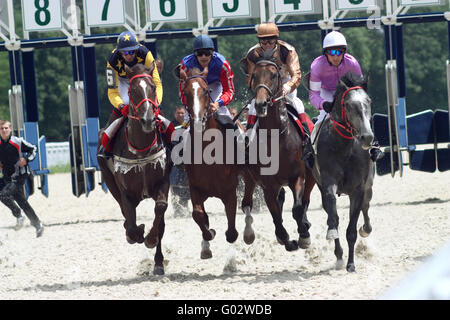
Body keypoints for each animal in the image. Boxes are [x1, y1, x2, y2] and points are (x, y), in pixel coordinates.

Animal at [96, 63, 171, 276]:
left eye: (152, 87)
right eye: (133, 90)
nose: (148, 119)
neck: (141, 148)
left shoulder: (163, 182)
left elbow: (160, 213)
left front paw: (150, 239)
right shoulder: (125, 191)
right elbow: (129, 219)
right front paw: (136, 233)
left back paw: (158, 262)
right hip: (111, 182)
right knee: (125, 214)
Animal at [173, 67, 256, 260]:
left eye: (206, 91)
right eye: (185, 93)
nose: (198, 121)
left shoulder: (229, 190)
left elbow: (232, 231)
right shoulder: (195, 188)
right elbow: (199, 215)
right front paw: (208, 238)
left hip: (248, 174)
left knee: (247, 202)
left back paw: (249, 232)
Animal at [243, 50, 316, 251]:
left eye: (274, 75)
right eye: (254, 75)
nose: (260, 104)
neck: (276, 138)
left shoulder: (297, 176)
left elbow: (298, 208)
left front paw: (304, 235)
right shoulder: (268, 185)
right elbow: (275, 215)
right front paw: (287, 240)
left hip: (311, 174)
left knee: (305, 200)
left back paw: (306, 224)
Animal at [312, 73, 374, 272]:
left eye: (368, 101)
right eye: (348, 105)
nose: (367, 137)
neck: (344, 147)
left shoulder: (358, 189)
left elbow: (352, 230)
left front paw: (351, 264)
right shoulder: (328, 181)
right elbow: (333, 210)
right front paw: (332, 233)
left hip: (369, 186)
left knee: (366, 207)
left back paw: (366, 229)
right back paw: (339, 255)